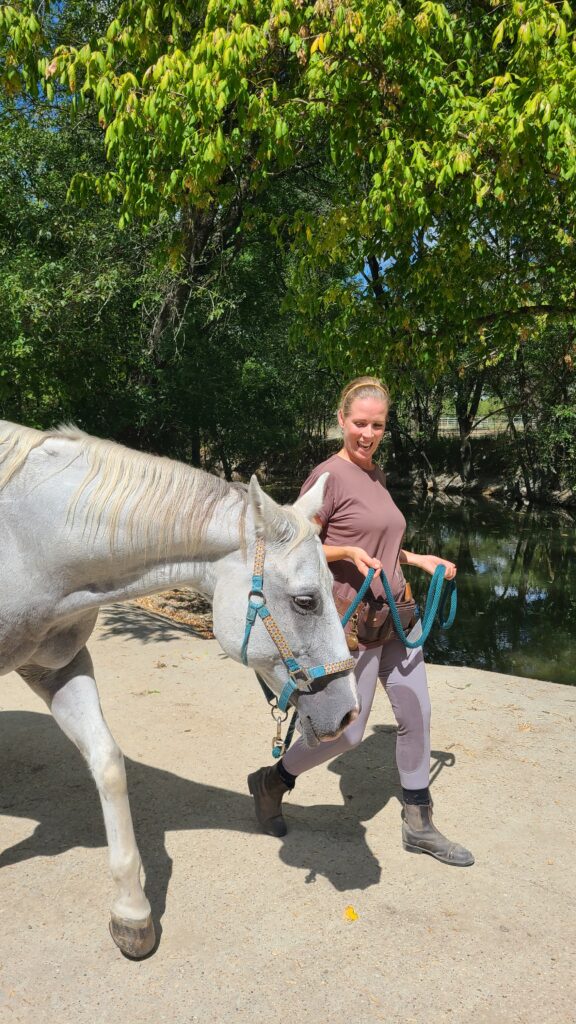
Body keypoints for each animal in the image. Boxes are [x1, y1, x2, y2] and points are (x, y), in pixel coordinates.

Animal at [0, 419, 358, 954]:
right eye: (305, 600)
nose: (349, 712)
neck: (27, 545)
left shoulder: (56, 669)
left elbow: (108, 764)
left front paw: (132, 914)